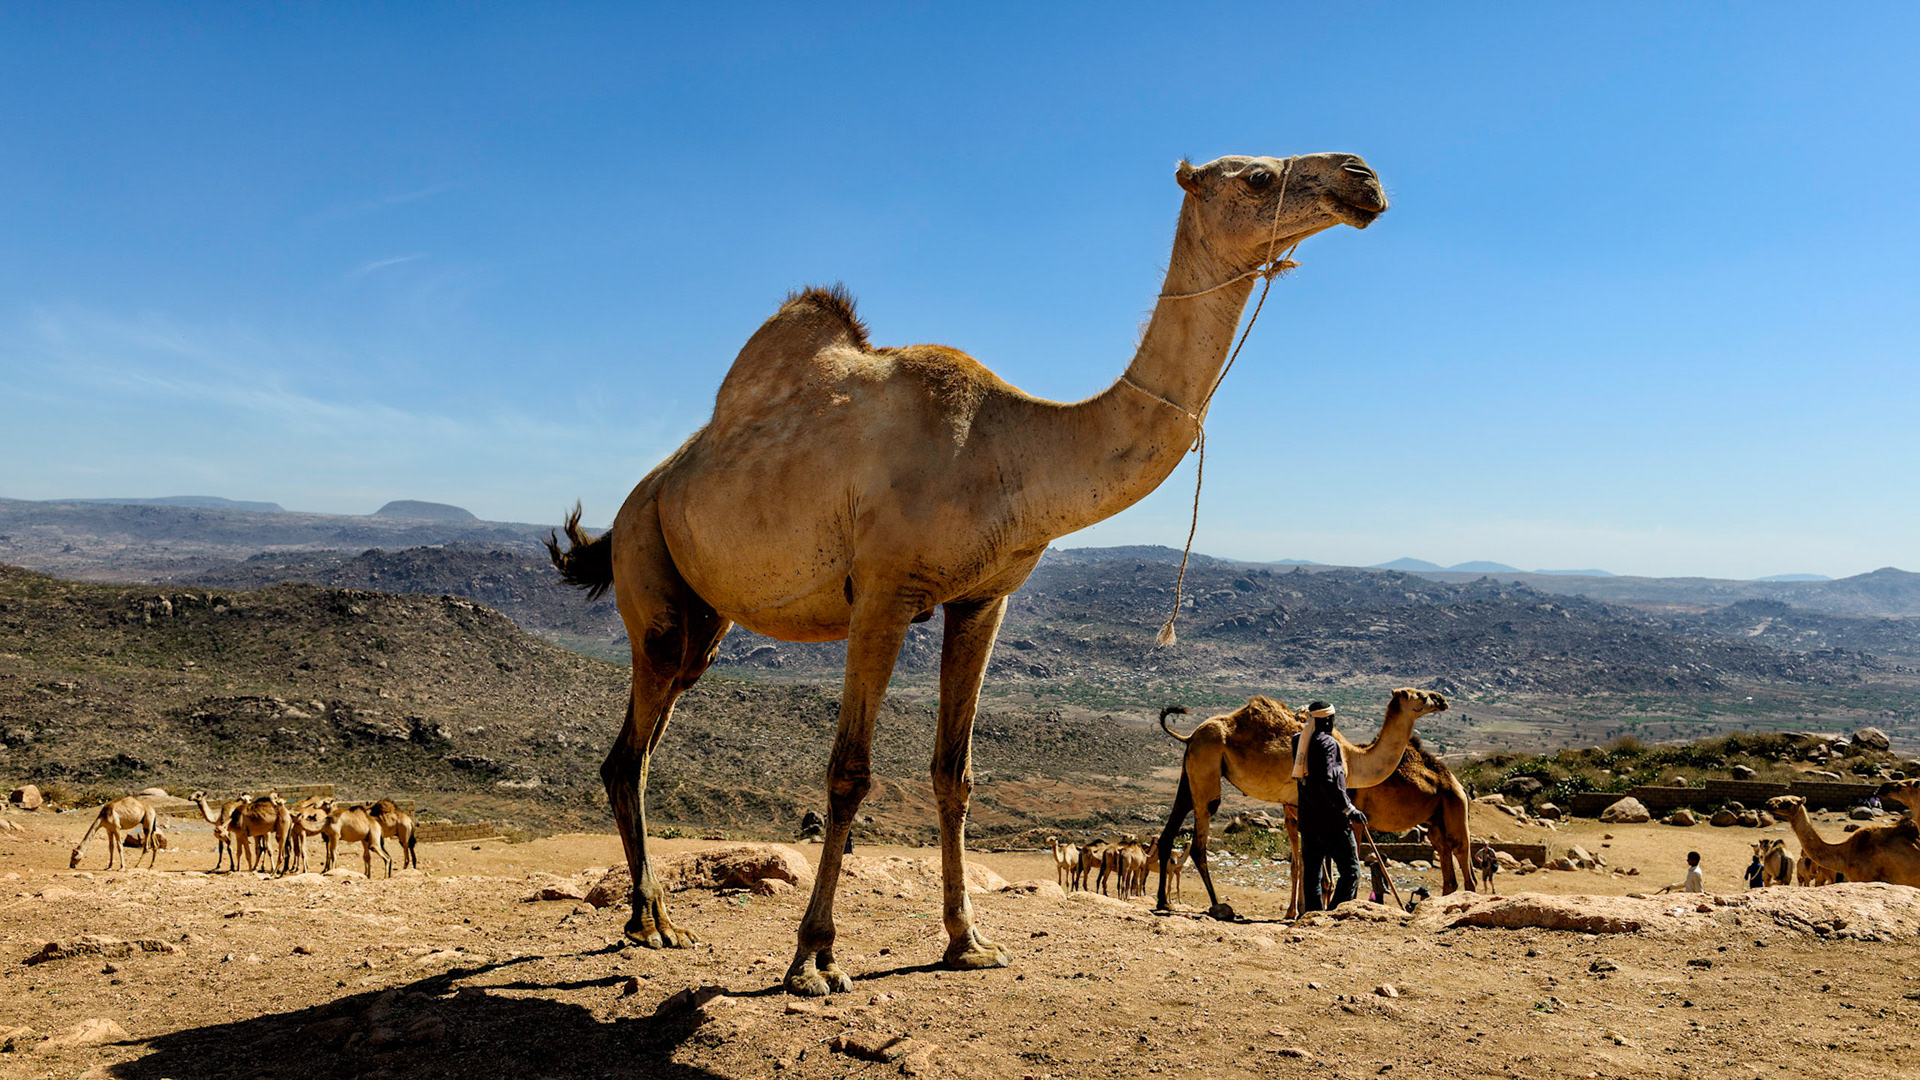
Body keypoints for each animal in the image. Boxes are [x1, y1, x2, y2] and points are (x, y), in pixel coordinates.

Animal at [549, 151, 1390, 991]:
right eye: (1255, 175)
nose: (1363, 178)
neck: (1007, 449)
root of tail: (640, 497)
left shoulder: (982, 600)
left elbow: (954, 774)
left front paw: (967, 941)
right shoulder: (882, 594)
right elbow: (849, 772)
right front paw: (813, 958)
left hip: (704, 618)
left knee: (635, 752)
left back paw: (649, 920)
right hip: (650, 564)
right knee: (636, 739)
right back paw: (657, 923)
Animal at [1144, 687, 1443, 914]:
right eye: (1420, 695)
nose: (1442, 699)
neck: (1354, 756)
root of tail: (1189, 735)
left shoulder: (1294, 805)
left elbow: (1303, 861)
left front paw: (1300, 908)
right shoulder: (1309, 801)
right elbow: (1306, 863)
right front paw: (1300, 909)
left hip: (1190, 772)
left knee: (1173, 825)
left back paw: (1164, 902)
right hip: (1207, 768)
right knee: (1199, 841)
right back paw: (1218, 905)